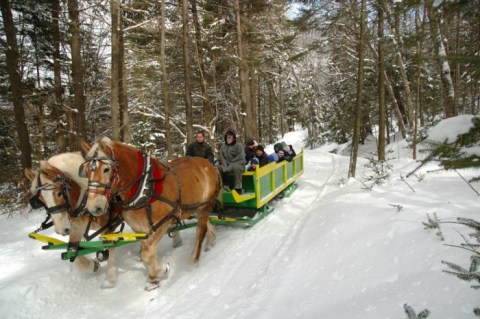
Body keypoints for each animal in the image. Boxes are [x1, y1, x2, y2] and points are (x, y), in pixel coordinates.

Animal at [25, 154, 121, 288]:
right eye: (41, 200)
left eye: (59, 193)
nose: (61, 229)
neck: (83, 204)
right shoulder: (76, 228)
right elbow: (73, 253)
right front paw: (93, 265)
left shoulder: (107, 226)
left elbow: (110, 246)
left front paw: (110, 278)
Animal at [82, 136, 221, 292]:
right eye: (86, 171)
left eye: (106, 169)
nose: (94, 207)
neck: (145, 188)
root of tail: (209, 164)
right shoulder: (139, 228)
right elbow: (146, 249)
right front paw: (154, 277)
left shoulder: (162, 223)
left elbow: (147, 253)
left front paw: (160, 272)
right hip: (195, 208)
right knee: (206, 224)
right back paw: (211, 241)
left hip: (205, 205)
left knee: (200, 231)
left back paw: (194, 259)